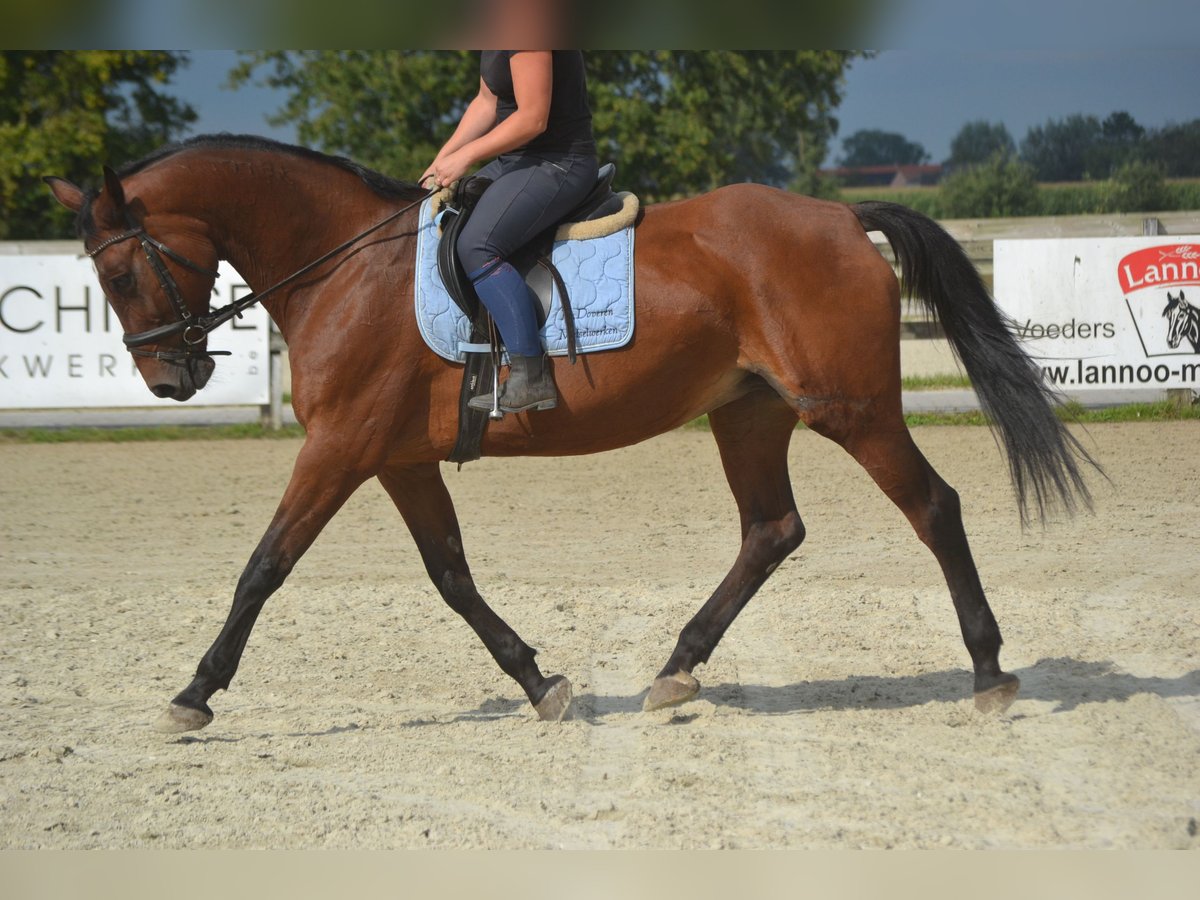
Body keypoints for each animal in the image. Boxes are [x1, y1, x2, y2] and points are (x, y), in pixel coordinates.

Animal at [49, 133, 1099, 734]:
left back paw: (989, 672)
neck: (345, 270)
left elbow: (264, 567)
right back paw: (674, 673)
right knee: (772, 530)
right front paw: (538, 682)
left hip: (849, 408)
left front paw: (193, 695)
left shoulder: (339, 449)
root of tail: (840, 213)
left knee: (933, 507)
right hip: (748, 411)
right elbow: (451, 576)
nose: (170, 379)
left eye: (124, 273)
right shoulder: (396, 459)